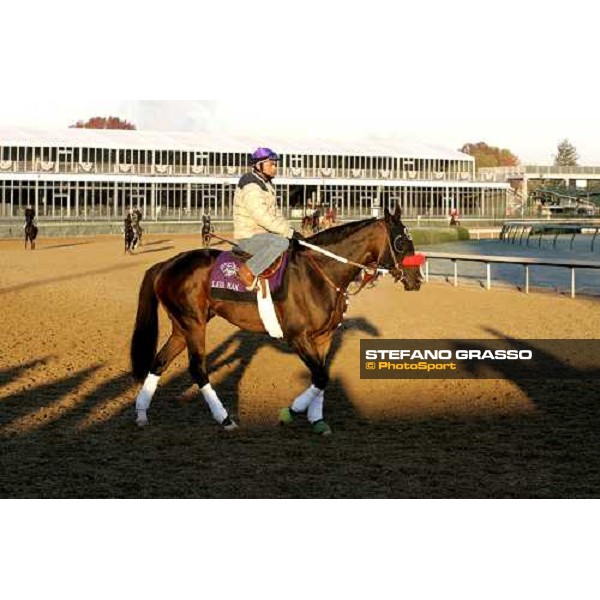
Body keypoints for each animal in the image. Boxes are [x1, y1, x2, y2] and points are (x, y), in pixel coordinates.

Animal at [129, 204, 424, 434]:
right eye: (401, 242)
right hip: (193, 324)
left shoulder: (324, 337)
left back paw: (141, 413)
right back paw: (224, 418)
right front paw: (291, 411)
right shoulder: (298, 337)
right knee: (197, 369)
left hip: (182, 327)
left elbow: (322, 376)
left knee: (159, 361)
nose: (417, 280)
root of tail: (166, 264)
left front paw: (317, 419)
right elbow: (320, 377)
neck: (319, 273)